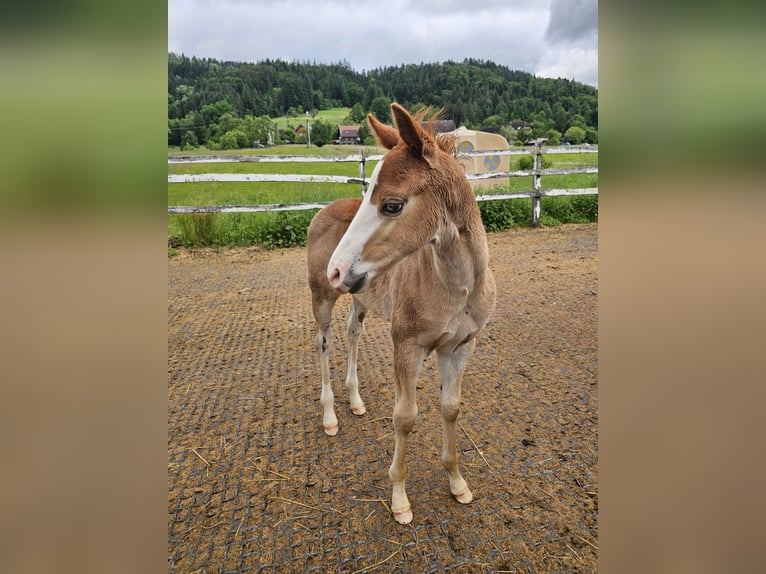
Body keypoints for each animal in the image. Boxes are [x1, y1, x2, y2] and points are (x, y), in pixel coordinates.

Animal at [306, 103, 496, 524]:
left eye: (391, 205)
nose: (336, 269)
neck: (455, 287)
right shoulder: (406, 345)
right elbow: (405, 418)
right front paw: (399, 498)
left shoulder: (461, 347)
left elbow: (450, 408)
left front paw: (457, 483)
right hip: (322, 298)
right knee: (324, 343)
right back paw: (330, 416)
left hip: (360, 299)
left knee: (352, 334)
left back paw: (355, 400)